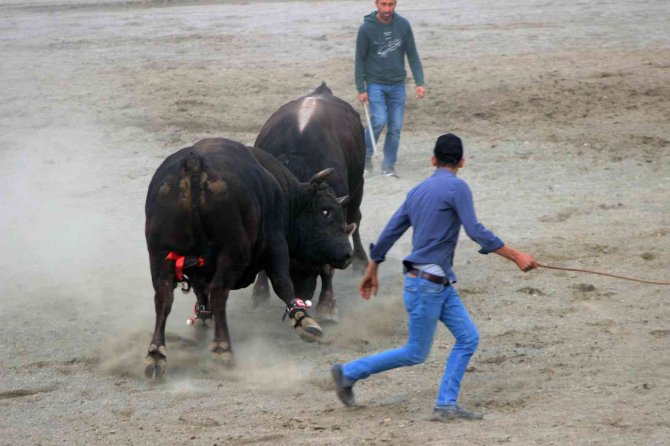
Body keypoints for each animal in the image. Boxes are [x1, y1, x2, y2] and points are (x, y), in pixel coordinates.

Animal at [144, 138, 356, 378]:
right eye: (326, 211)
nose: (348, 254)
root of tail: (195, 164)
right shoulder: (276, 243)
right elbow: (282, 282)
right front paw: (302, 319)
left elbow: (200, 292)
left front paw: (202, 321)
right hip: (232, 252)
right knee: (218, 292)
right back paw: (222, 347)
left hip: (159, 254)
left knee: (163, 298)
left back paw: (156, 354)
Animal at [252, 83, 370, 320]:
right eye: (289, 264)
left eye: (315, 263)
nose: (303, 296)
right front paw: (259, 293)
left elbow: (329, 266)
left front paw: (328, 304)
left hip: (358, 186)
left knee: (356, 219)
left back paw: (361, 261)